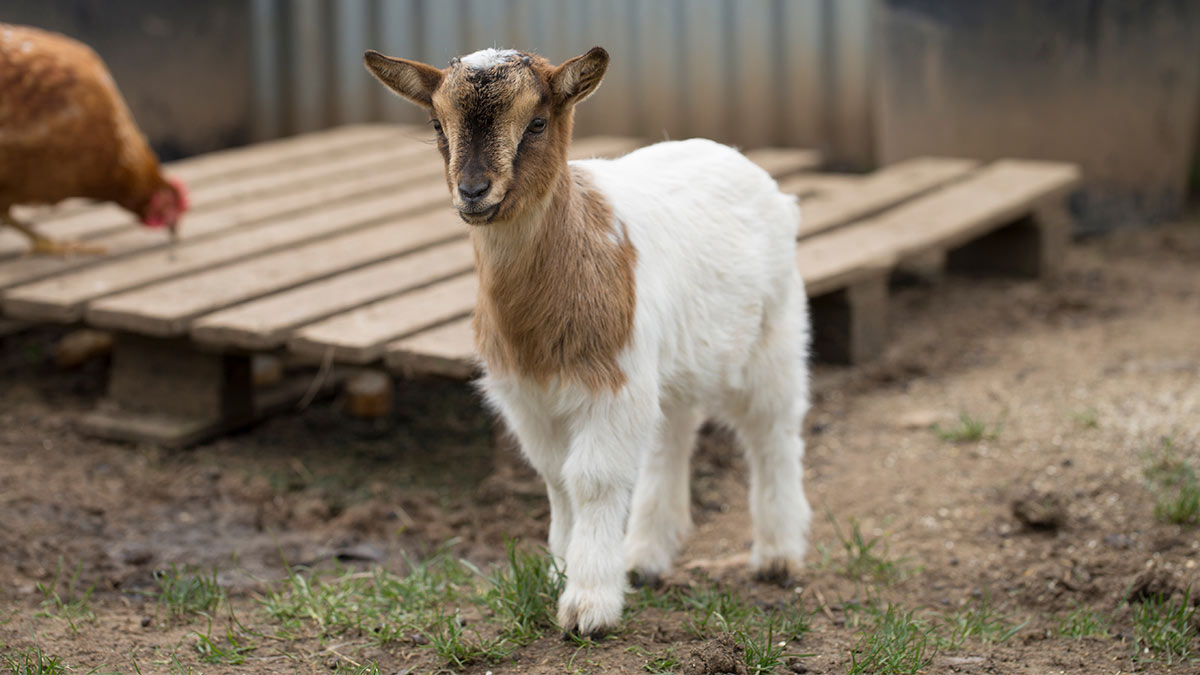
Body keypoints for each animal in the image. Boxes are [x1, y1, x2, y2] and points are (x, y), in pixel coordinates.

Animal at [362, 44, 816, 634]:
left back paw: (778, 555)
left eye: (536, 123)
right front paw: (564, 568)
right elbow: (557, 478)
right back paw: (645, 556)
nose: (473, 192)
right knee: (671, 434)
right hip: (672, 364)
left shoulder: (612, 382)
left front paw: (588, 604)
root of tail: (741, 161)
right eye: (438, 125)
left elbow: (593, 479)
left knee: (773, 431)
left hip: (773, 333)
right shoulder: (528, 395)